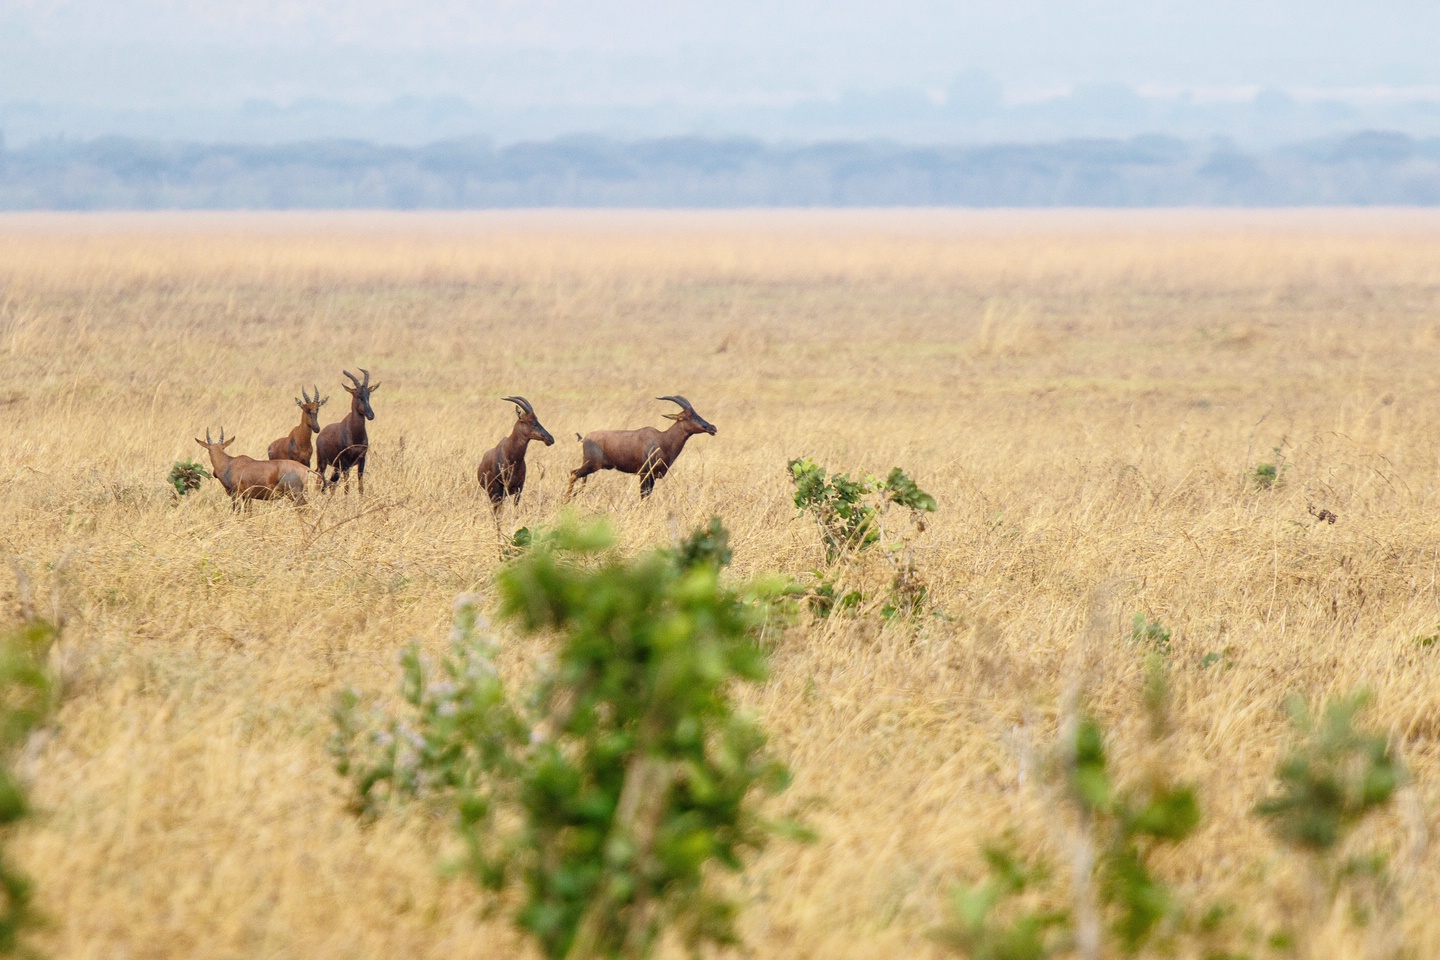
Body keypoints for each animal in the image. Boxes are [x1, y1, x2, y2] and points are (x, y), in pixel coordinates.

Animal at [564, 394, 717, 500]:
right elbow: (643, 497)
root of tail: (584, 438)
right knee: (573, 473)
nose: (712, 428)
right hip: (591, 465)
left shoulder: (653, 477)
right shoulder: (644, 474)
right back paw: (566, 500)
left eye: (696, 413)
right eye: (687, 416)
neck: (662, 439)